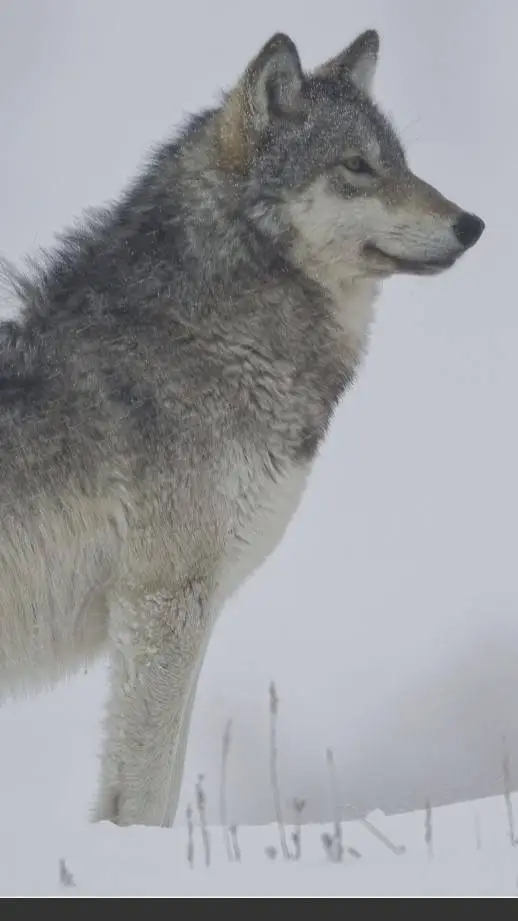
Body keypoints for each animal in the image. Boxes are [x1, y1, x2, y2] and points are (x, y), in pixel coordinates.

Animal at [0, 29, 484, 826]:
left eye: (401, 162)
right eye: (357, 166)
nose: (472, 225)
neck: (211, 337)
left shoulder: (191, 606)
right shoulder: (165, 602)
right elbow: (141, 794)